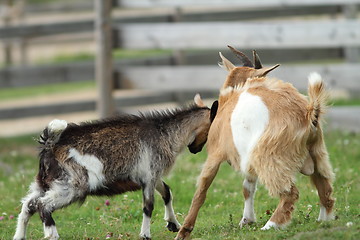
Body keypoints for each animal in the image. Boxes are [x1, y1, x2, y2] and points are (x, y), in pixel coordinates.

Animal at [14, 94, 218, 240]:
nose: (195, 150)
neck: (165, 133)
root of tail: (49, 145)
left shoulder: (153, 175)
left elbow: (167, 191)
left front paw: (173, 224)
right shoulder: (149, 175)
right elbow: (148, 206)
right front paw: (145, 234)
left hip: (45, 183)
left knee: (28, 205)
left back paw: (19, 236)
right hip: (72, 185)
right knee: (42, 205)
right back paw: (52, 234)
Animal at [176, 47, 336, 240]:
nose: (192, 148)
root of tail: (309, 113)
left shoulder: (215, 154)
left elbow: (201, 190)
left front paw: (184, 231)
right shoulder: (247, 157)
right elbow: (248, 187)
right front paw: (246, 220)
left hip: (269, 155)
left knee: (291, 193)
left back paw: (271, 225)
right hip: (316, 152)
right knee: (325, 187)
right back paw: (324, 219)